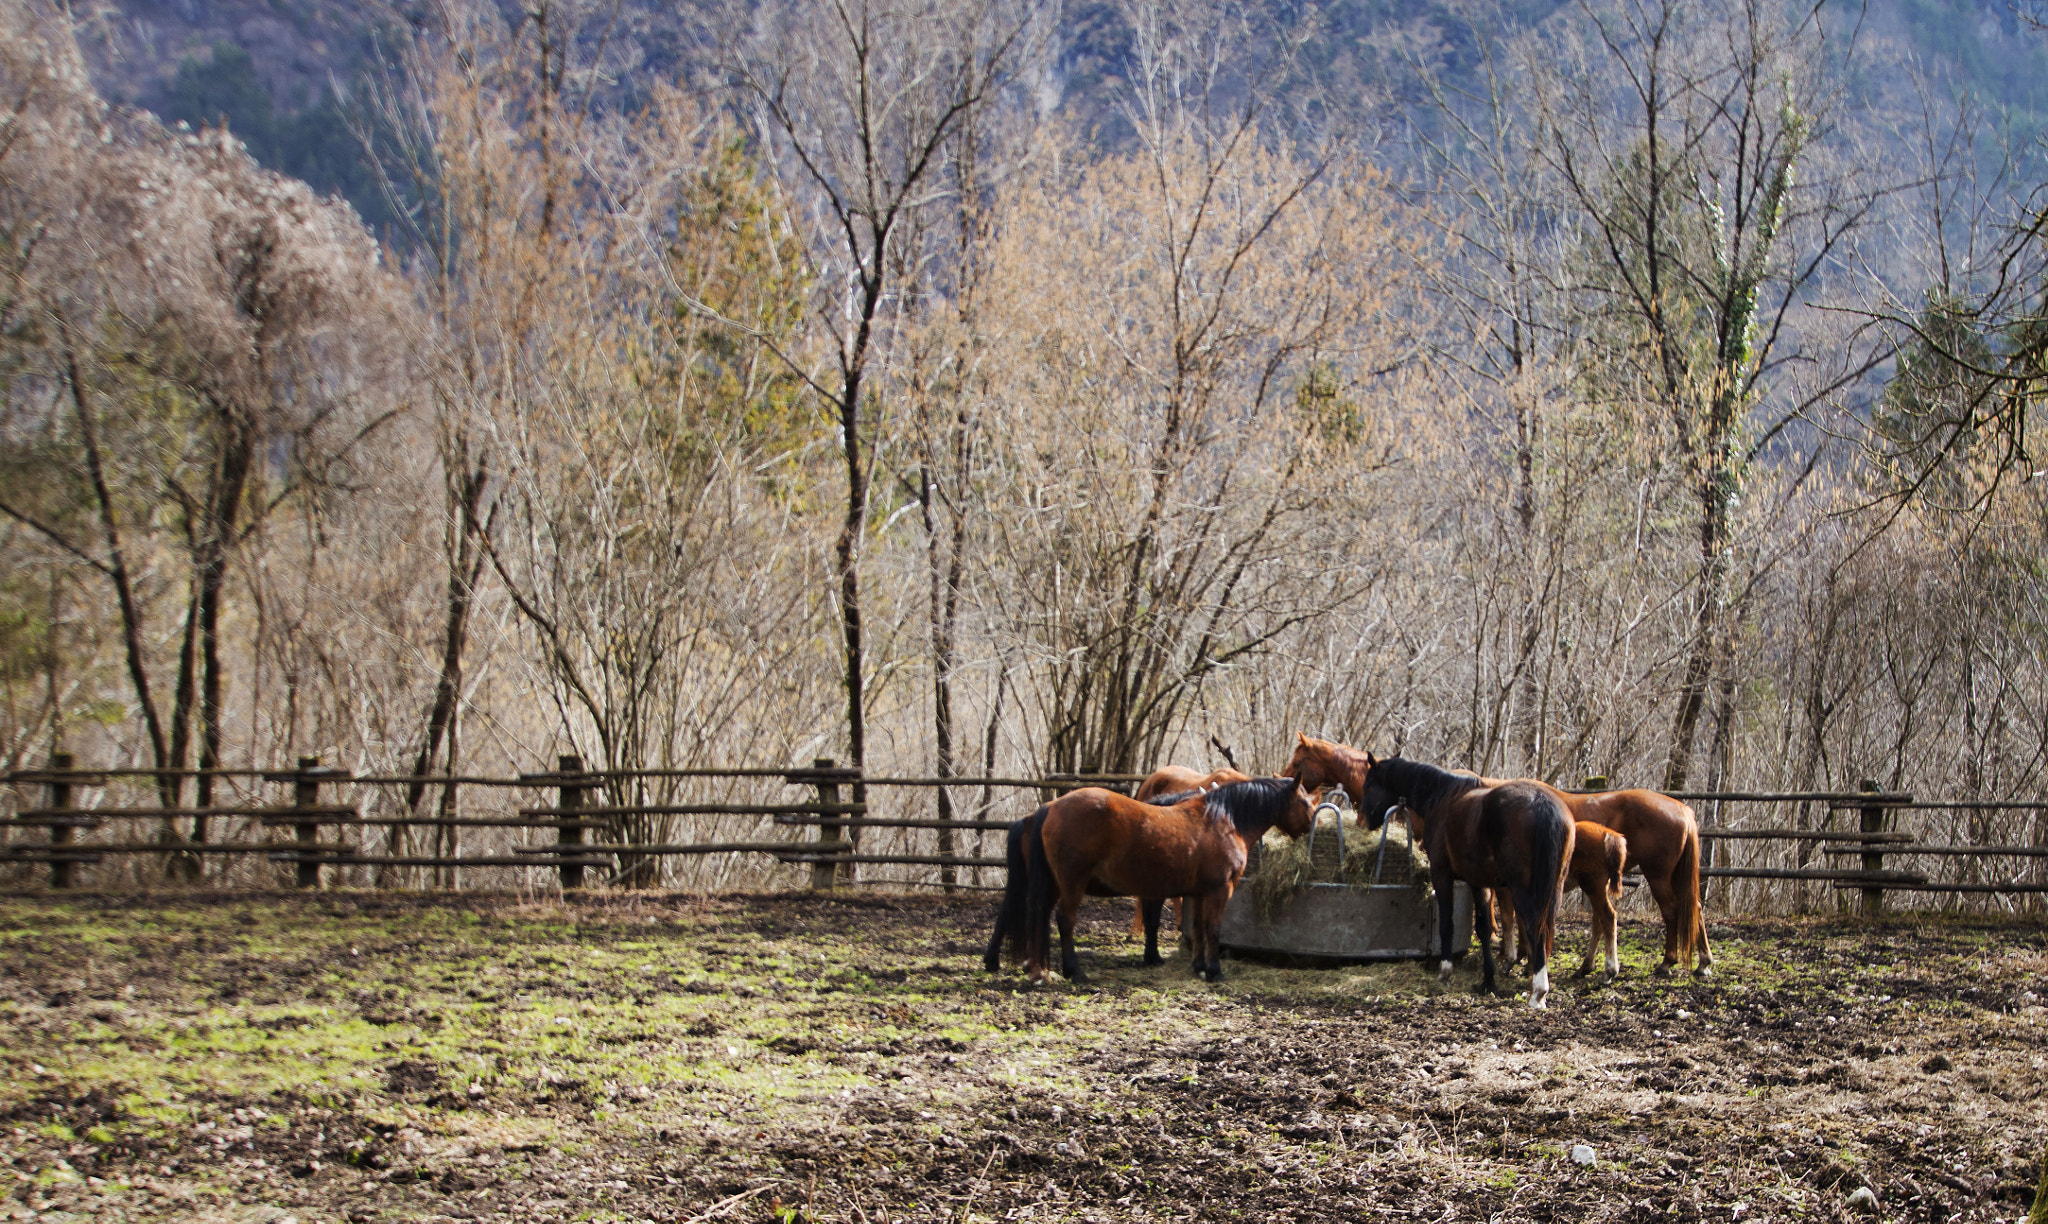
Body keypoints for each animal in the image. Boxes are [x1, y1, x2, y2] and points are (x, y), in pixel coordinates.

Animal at [991, 777, 1310, 986]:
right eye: (1305, 801)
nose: (1309, 830)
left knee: (1038, 916)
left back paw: (1039, 970)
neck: (1225, 819)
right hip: (1071, 883)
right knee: (1064, 921)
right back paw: (1073, 971)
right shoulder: (1219, 891)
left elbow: (1198, 929)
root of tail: (1051, 807)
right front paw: (1214, 971)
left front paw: (1198, 967)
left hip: (1053, 884)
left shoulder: (1198, 893)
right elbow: (1213, 930)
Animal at [1277, 736, 1712, 978]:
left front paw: (1508, 960)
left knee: (1673, 912)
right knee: (1687, 912)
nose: (1286, 783)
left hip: (1655, 876)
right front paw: (1516, 958)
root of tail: (1681, 808)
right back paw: (1695, 963)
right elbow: (1508, 918)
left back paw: (1666, 962)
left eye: (1299, 761)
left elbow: (1497, 918)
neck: (1448, 794)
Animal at [1351, 761, 1572, 1011]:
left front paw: (1445, 973)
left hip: (1521, 890)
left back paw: (1538, 991)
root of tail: (1541, 802)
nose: (1360, 823)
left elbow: (1447, 923)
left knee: (1536, 927)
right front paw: (1488, 981)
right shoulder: (1479, 883)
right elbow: (1484, 929)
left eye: (1368, 785)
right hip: (1553, 890)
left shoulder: (1441, 875)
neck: (1443, 796)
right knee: (1546, 927)